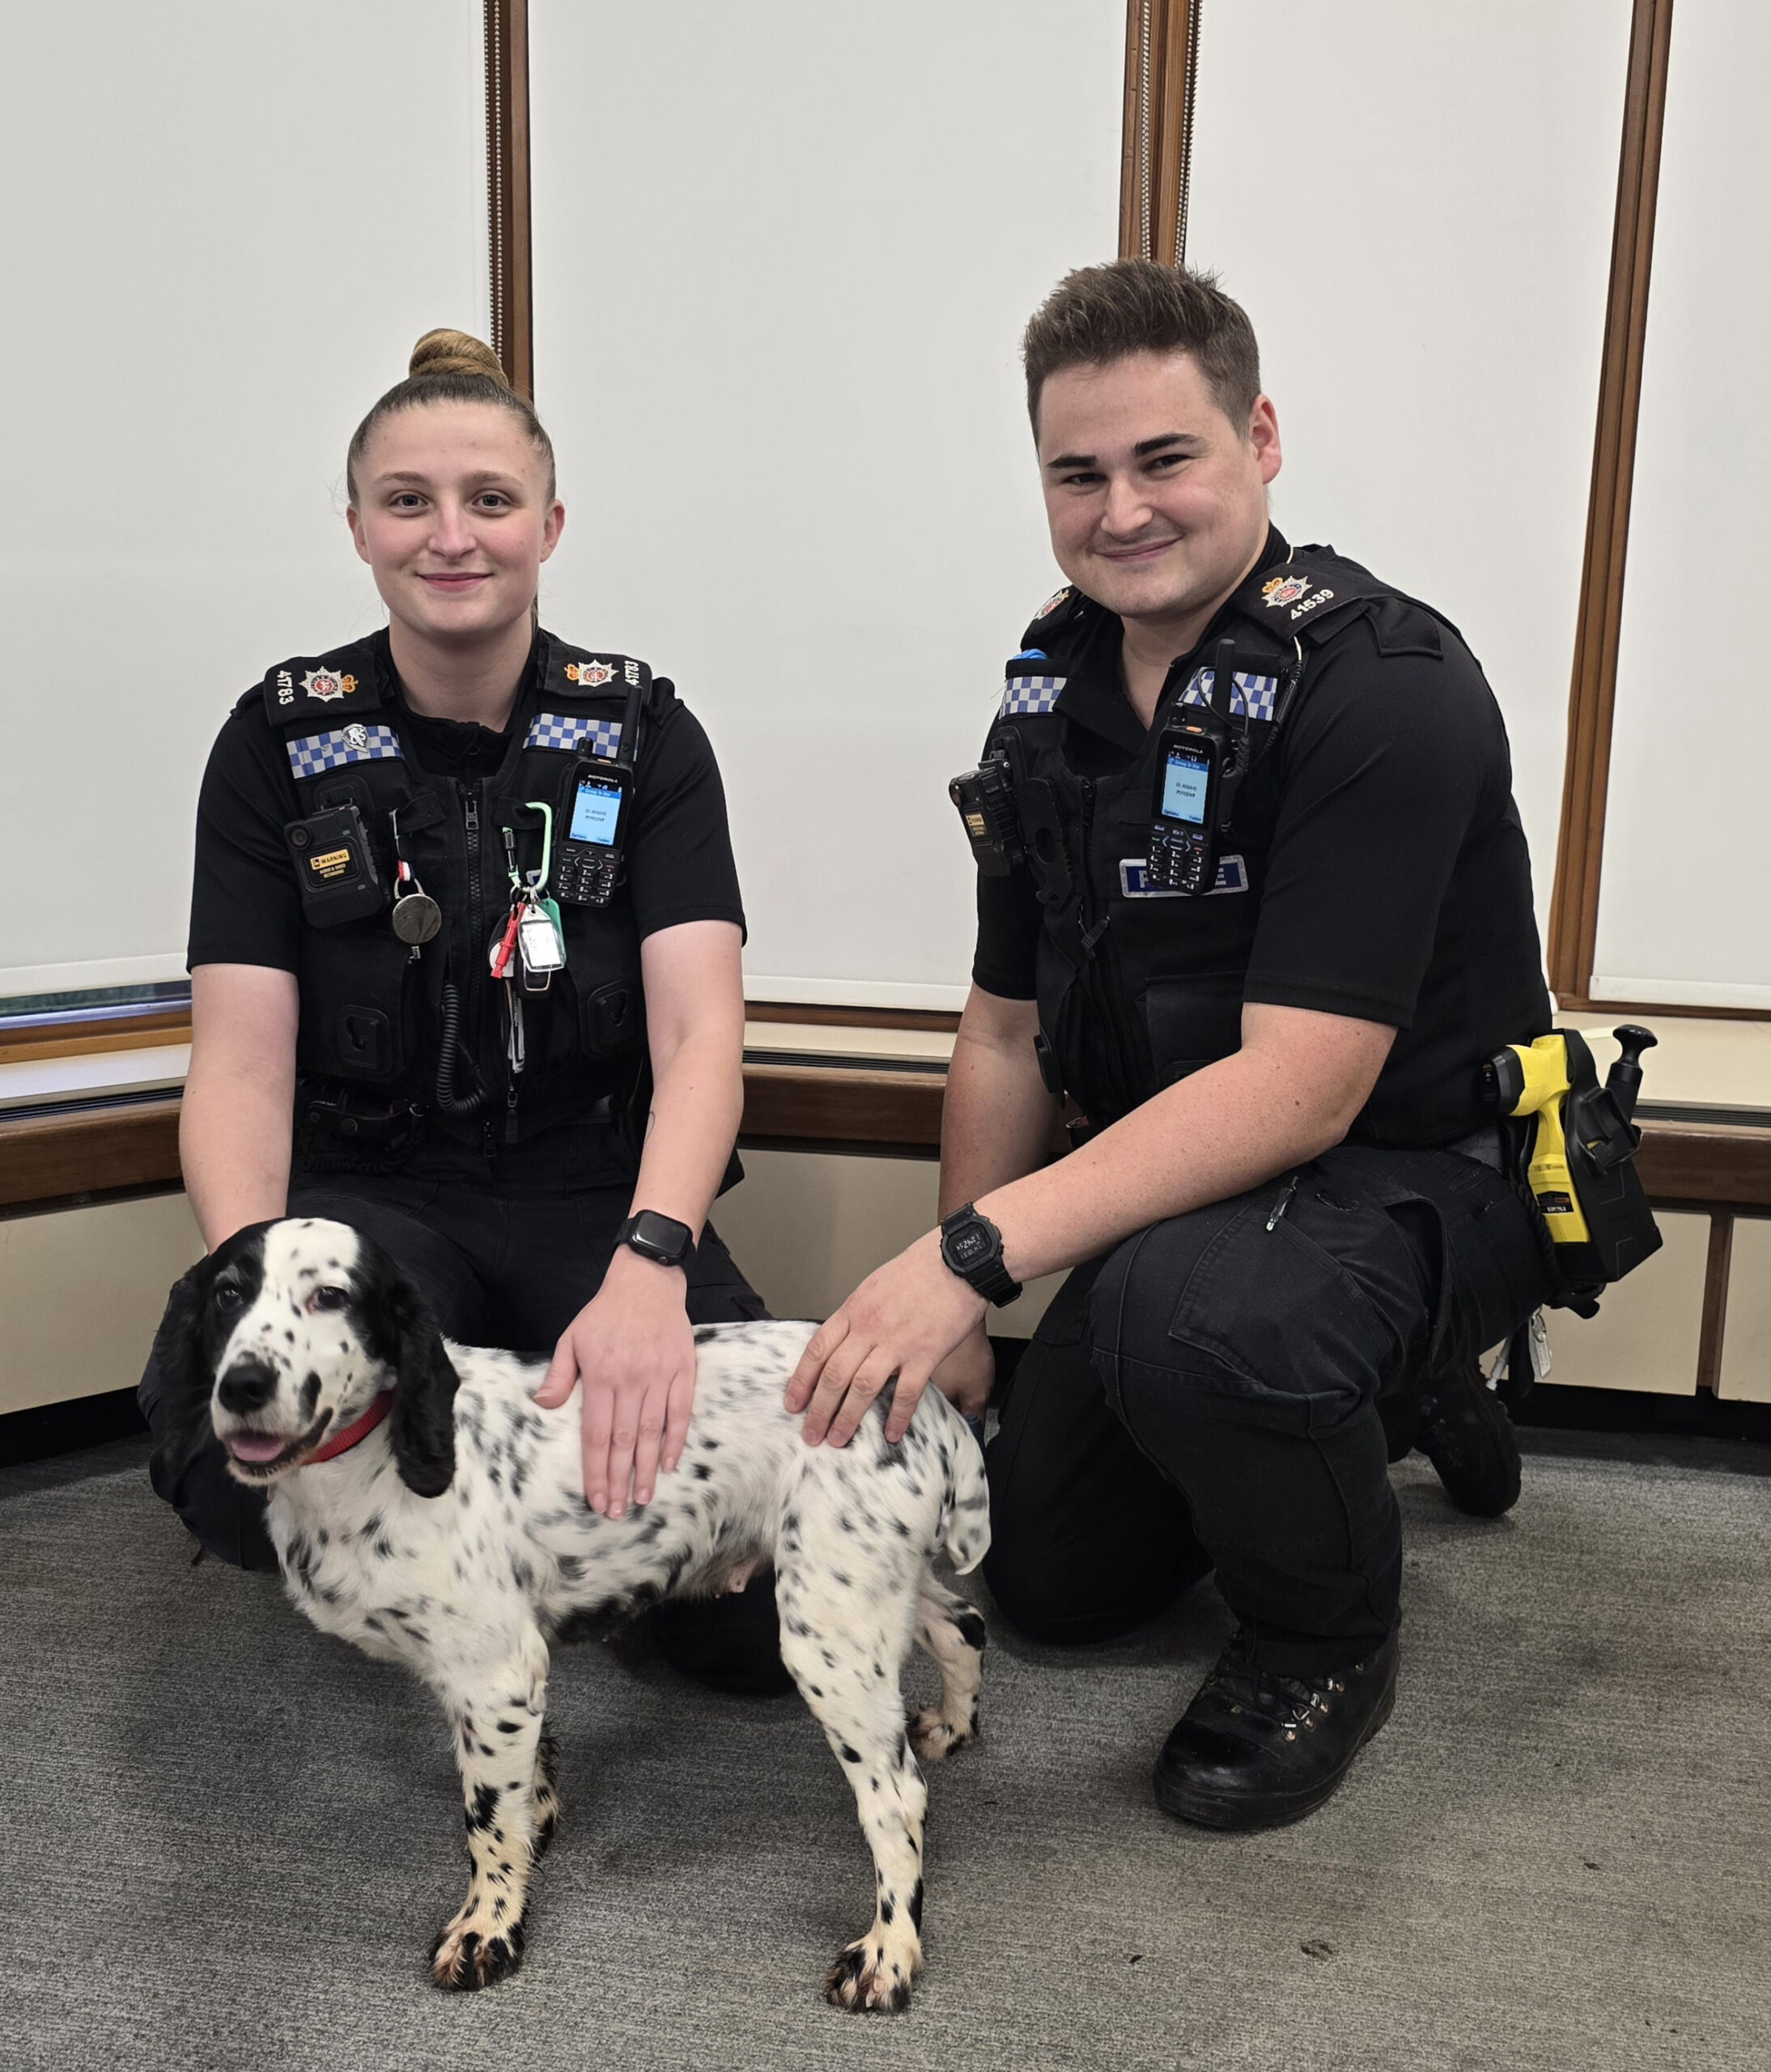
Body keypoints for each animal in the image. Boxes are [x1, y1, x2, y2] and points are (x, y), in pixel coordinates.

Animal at [157, 1210, 990, 2006]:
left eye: (330, 1296)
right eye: (227, 1294)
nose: (242, 1386)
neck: (368, 1467)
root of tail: (926, 1402)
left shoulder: (492, 1674)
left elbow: (487, 1825)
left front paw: (488, 1929)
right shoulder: (508, 1676)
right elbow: (523, 1786)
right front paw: (536, 1820)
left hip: (827, 1635)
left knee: (897, 1800)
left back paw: (888, 1953)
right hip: (870, 1589)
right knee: (964, 1627)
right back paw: (952, 1725)